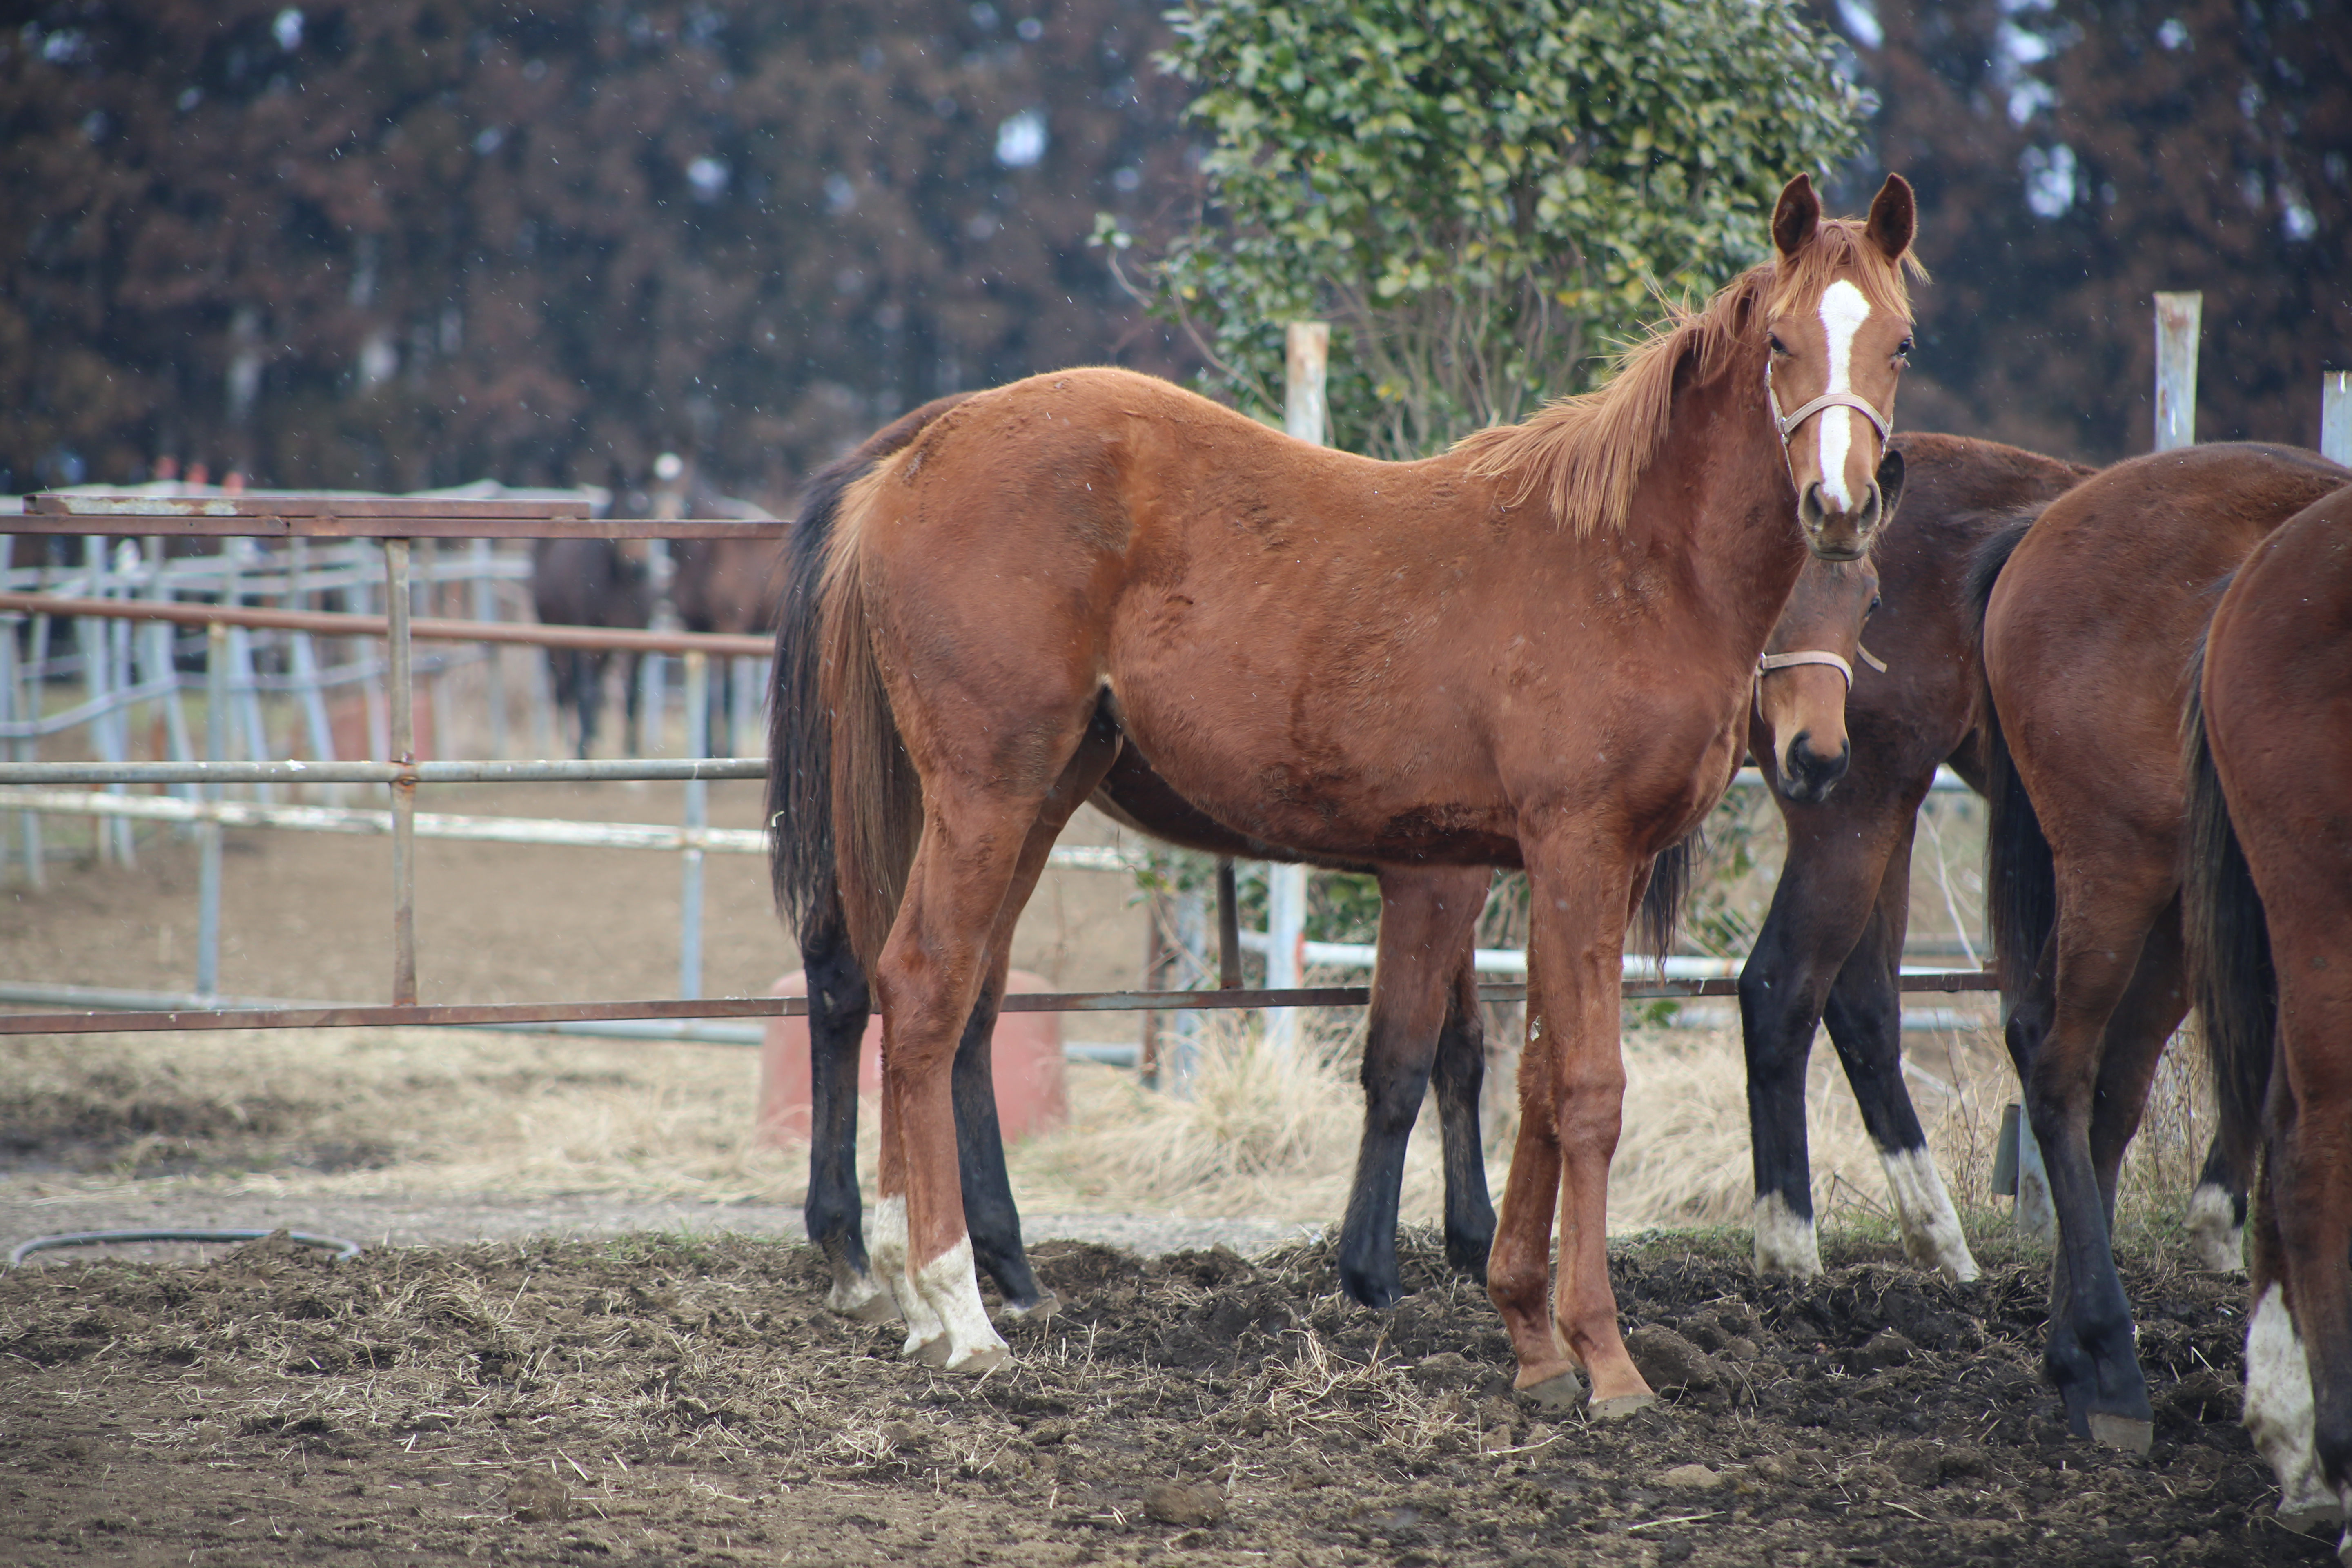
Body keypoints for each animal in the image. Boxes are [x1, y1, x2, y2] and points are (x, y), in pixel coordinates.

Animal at [771, 172, 1910, 1401]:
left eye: (1898, 342)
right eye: (1783, 341)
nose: (1837, 505)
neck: (1629, 564)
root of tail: (912, 460)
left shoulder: (1543, 868)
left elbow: (1530, 1085)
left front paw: (1529, 1337)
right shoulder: (1569, 852)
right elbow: (1582, 1092)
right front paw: (1603, 1362)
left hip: (1033, 794)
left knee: (940, 995)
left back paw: (922, 1288)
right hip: (986, 788)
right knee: (922, 987)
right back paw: (956, 1305)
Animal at [1976, 439, 2342, 1448]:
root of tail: (2052, 520)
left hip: (2183, 907)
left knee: (2111, 1086)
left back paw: (2075, 1353)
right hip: (2120, 869)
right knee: (2059, 1066)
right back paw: (2107, 1360)